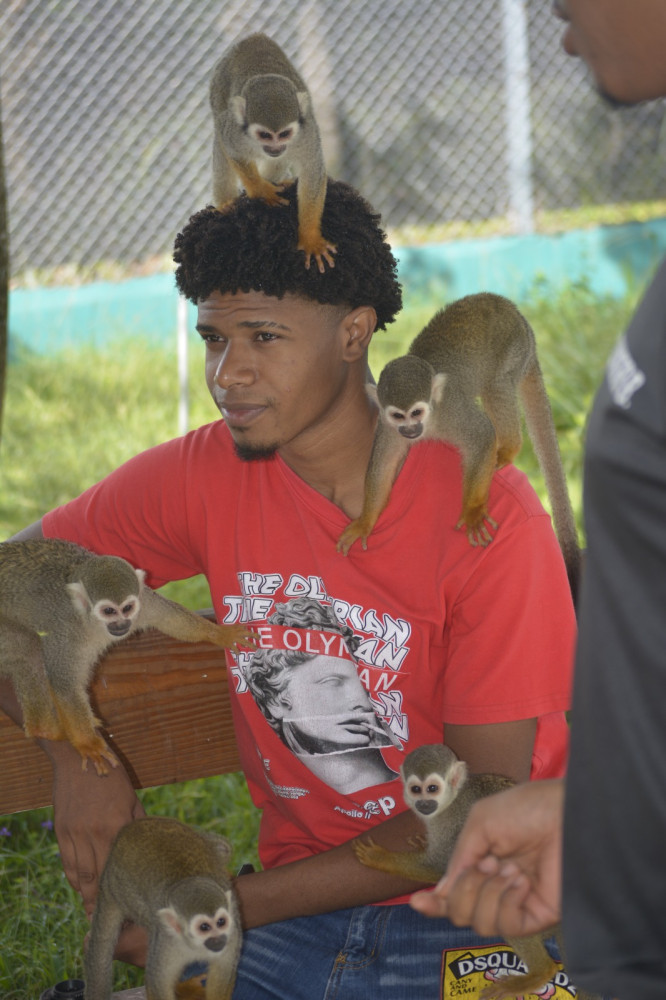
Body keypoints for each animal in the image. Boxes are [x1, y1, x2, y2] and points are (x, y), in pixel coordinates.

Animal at [0, 538, 257, 775]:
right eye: (108, 611)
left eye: (127, 608)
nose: (122, 624)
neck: (92, 623)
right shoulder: (66, 632)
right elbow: (64, 684)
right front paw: (88, 743)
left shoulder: (143, 600)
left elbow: (171, 619)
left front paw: (219, 634)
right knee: (26, 647)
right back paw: (45, 730)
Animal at [85, 816, 241, 1000]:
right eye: (204, 927)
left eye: (221, 922)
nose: (218, 939)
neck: (194, 945)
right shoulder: (166, 942)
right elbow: (157, 985)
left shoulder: (233, 934)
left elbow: (222, 976)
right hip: (125, 890)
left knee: (223, 848)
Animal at [209, 32, 336, 273]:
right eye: (265, 135)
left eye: (284, 134)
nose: (275, 148)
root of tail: (254, 37)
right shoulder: (235, 132)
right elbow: (232, 151)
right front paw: (261, 191)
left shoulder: (306, 132)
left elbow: (312, 172)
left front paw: (310, 239)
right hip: (216, 89)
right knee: (219, 138)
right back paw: (226, 204)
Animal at [337, 293, 580, 603]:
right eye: (398, 416)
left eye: (416, 412)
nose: (410, 430)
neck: (431, 421)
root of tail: (520, 319)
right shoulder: (387, 428)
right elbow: (382, 466)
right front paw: (365, 522)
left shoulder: (452, 411)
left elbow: (482, 435)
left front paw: (474, 511)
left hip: (513, 349)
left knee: (495, 386)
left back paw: (510, 447)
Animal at [353, 744, 599, 1000]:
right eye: (416, 789)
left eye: (432, 789)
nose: (424, 804)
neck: (453, 799)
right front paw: (422, 843)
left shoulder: (452, 822)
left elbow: (441, 866)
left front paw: (380, 857)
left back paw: (539, 972)